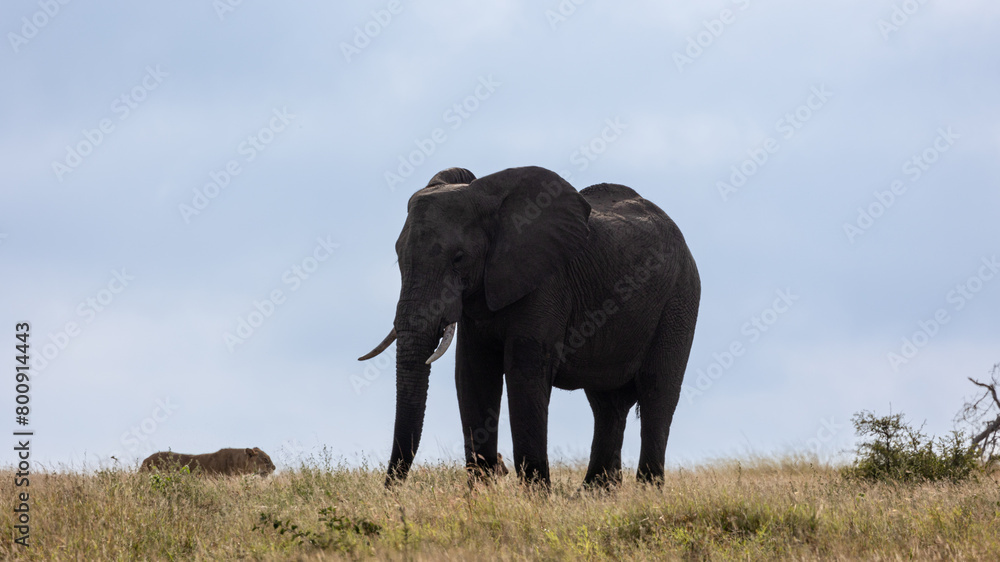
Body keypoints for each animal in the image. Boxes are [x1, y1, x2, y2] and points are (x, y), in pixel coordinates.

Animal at [359, 166, 700, 488]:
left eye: (458, 258)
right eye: (398, 257)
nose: (391, 494)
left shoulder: (546, 282)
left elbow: (524, 371)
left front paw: (536, 497)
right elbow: (472, 373)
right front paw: (482, 495)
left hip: (679, 300)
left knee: (657, 393)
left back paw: (646, 493)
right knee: (607, 404)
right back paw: (594, 495)